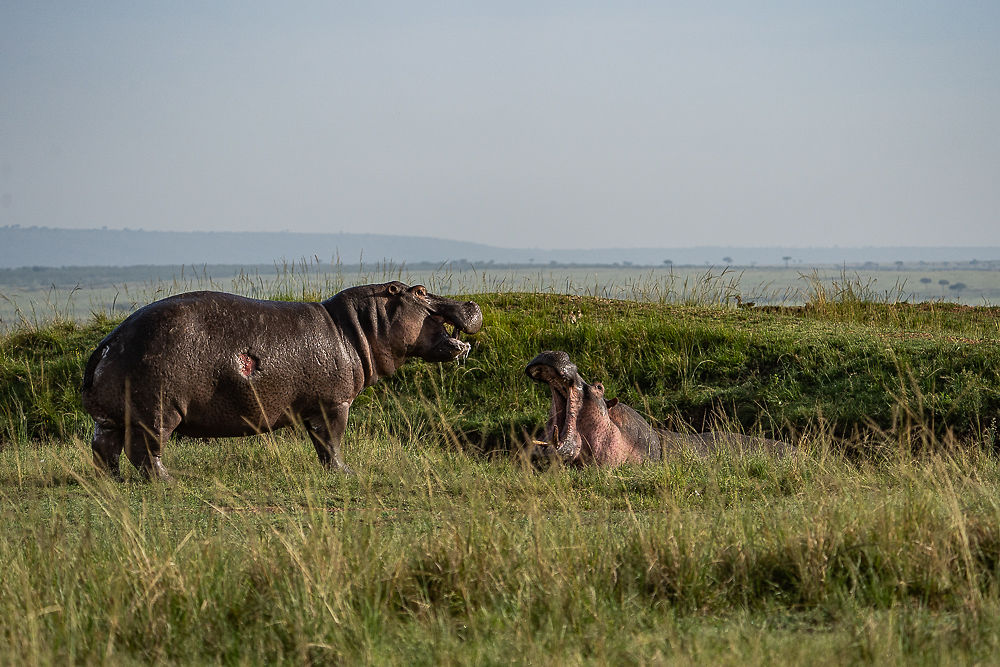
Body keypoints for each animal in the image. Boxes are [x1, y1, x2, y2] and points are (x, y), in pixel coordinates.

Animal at [82, 282, 480, 480]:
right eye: (421, 291)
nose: (472, 304)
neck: (359, 326)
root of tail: (109, 342)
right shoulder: (334, 403)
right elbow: (332, 440)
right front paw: (346, 473)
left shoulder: (315, 407)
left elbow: (321, 443)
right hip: (157, 411)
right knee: (145, 451)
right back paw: (167, 480)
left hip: (112, 416)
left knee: (103, 447)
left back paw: (111, 480)